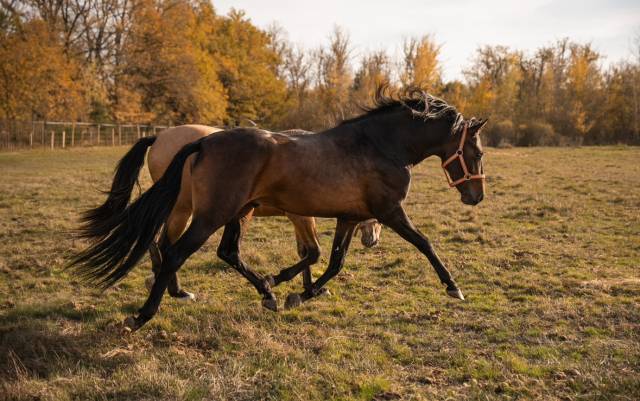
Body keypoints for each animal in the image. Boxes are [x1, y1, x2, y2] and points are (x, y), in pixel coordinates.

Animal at [143, 124, 382, 301]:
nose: (372, 241)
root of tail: (160, 137)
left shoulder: (300, 219)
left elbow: (304, 253)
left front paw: (310, 289)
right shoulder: (301, 217)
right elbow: (313, 253)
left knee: (159, 243)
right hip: (184, 211)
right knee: (167, 246)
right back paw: (176, 291)